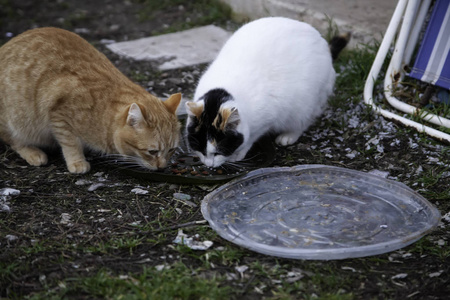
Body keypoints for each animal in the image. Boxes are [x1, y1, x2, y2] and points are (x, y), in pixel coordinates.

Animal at [0, 28, 181, 175]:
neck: (102, 110)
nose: (162, 167)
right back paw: (33, 153)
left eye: (171, 150)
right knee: (13, 141)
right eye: (152, 152)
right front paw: (77, 161)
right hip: (14, 121)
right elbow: (70, 142)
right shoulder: (59, 115)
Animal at [185, 17, 350, 168]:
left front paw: (238, 153)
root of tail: (324, 46)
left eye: (219, 151)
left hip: (305, 105)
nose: (209, 165)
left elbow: (251, 137)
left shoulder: (266, 119)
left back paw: (288, 136)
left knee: (303, 122)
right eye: (199, 148)